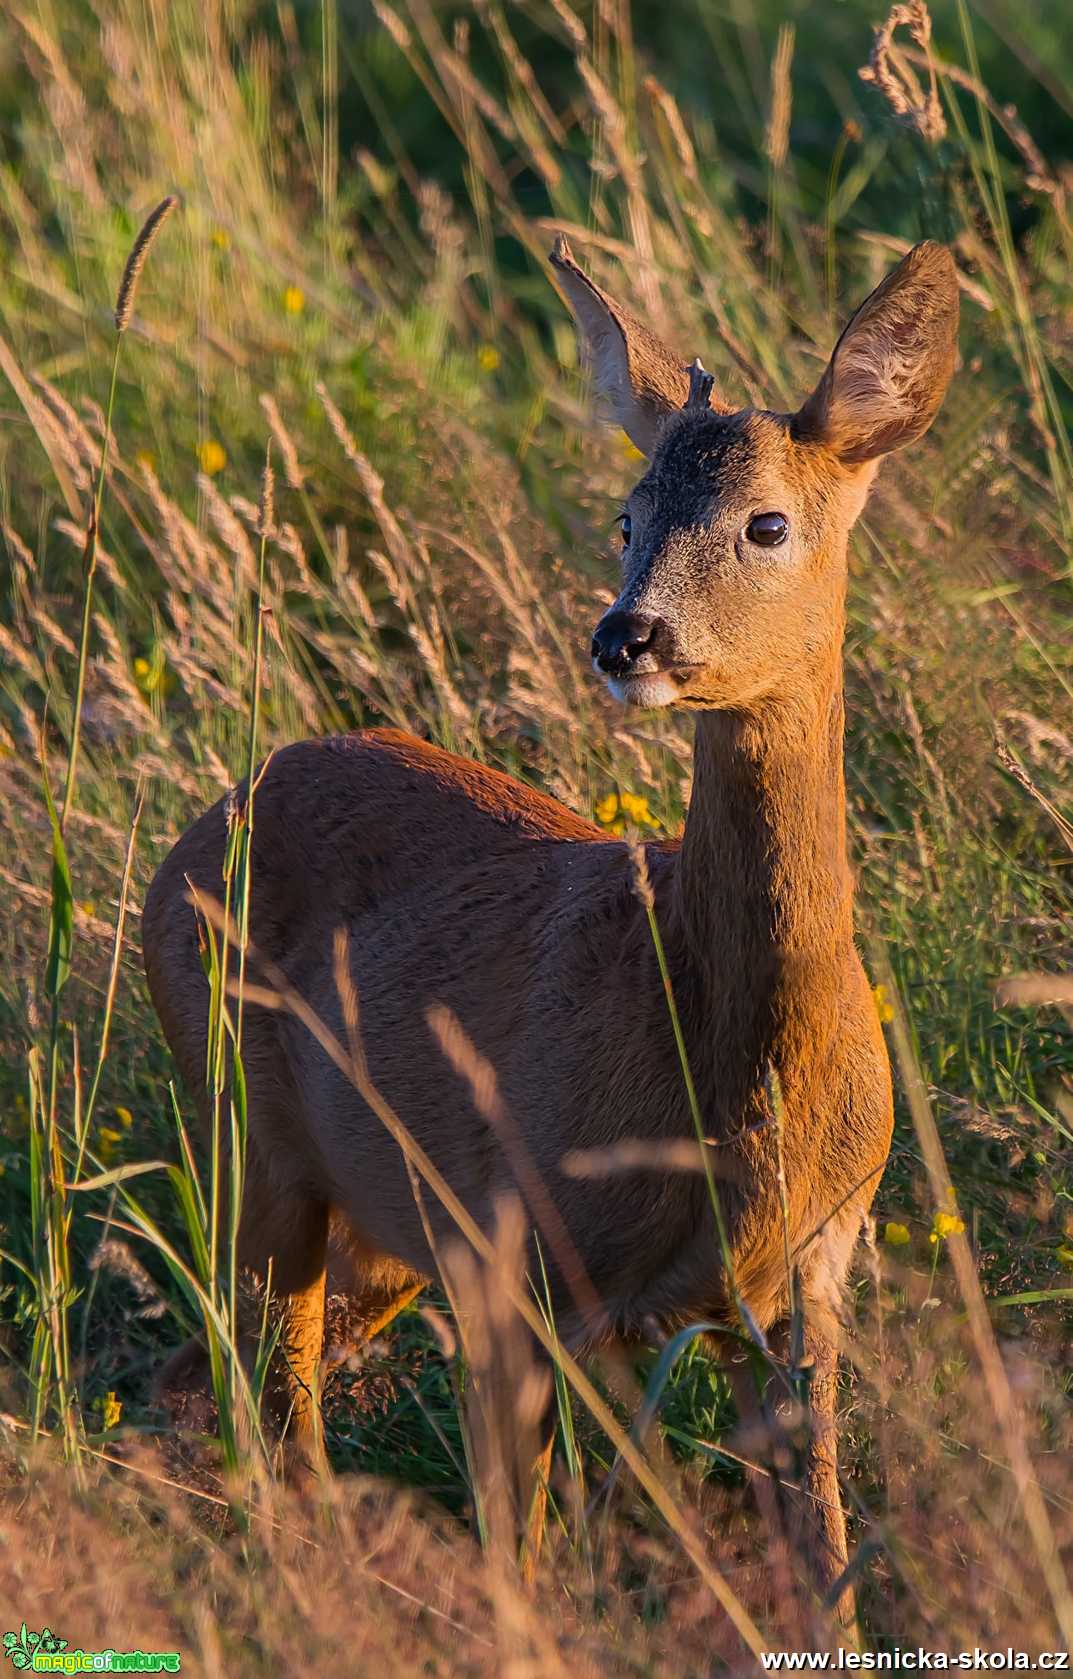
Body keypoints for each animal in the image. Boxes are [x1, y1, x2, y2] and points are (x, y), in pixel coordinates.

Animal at [142, 233, 953, 1611]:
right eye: (626, 517)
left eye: (766, 521)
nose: (626, 634)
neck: (732, 1079)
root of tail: (203, 821)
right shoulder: (525, 1258)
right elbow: (525, 1546)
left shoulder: (810, 1269)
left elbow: (822, 1557)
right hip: (249, 1135)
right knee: (274, 1411)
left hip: (376, 1228)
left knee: (200, 1384)